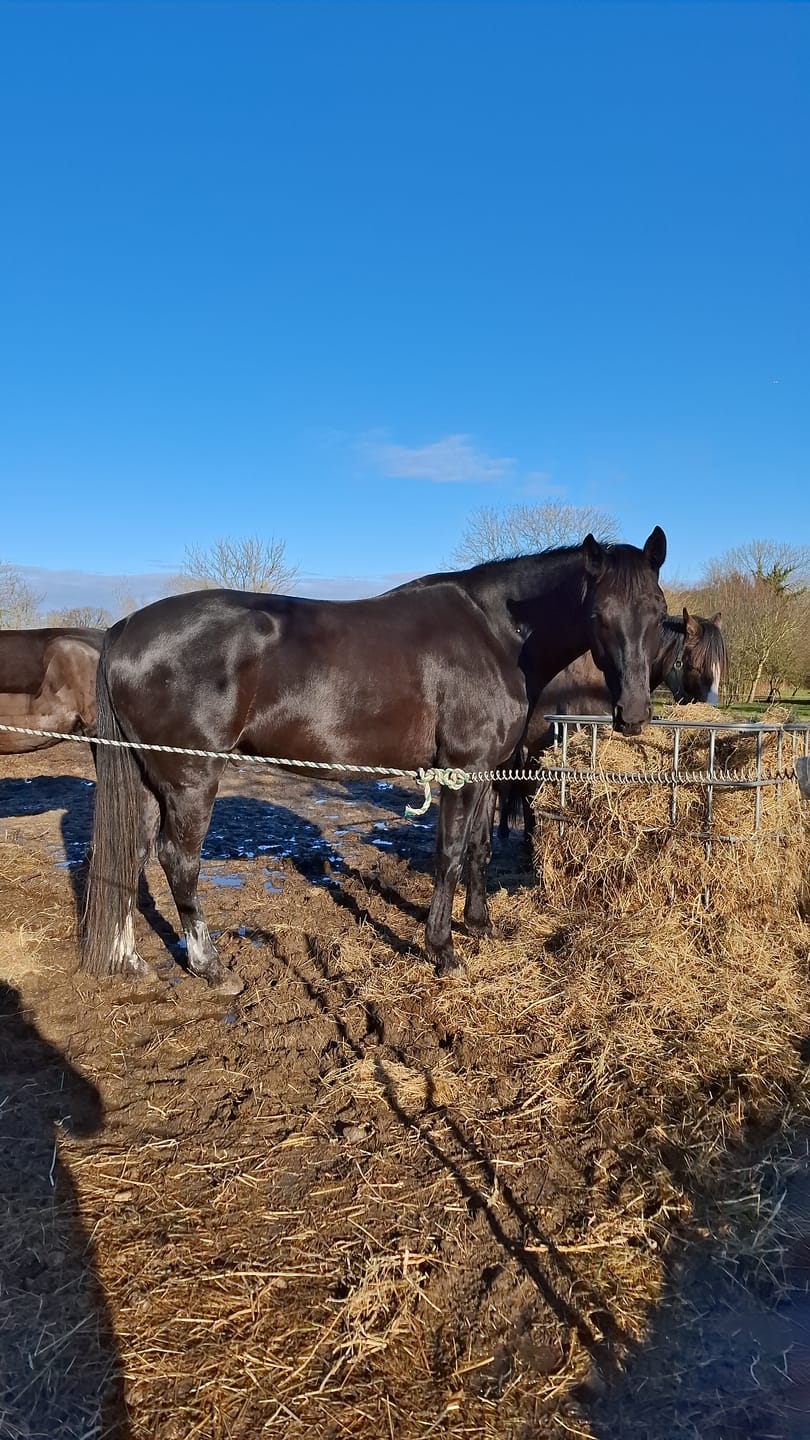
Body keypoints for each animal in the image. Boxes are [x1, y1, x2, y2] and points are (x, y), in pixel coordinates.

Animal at [81, 528, 667, 992]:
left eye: (659, 614)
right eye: (598, 615)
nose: (634, 713)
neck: (495, 633)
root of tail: (122, 630)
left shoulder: (484, 772)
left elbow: (478, 850)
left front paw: (480, 925)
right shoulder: (461, 772)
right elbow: (449, 855)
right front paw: (442, 950)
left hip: (151, 778)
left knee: (132, 856)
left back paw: (130, 959)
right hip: (190, 778)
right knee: (178, 861)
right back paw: (212, 968)